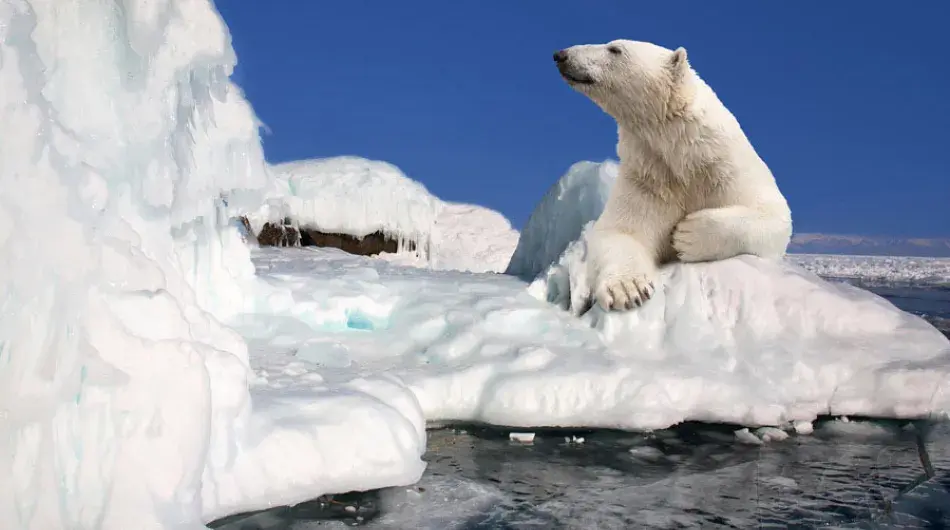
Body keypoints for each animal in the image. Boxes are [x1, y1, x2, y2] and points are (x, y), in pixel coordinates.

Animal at [553, 39, 793, 312]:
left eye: (614, 49)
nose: (561, 55)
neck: (685, 160)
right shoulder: (648, 179)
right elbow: (621, 231)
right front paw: (628, 289)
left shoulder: (727, 170)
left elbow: (773, 215)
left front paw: (688, 234)